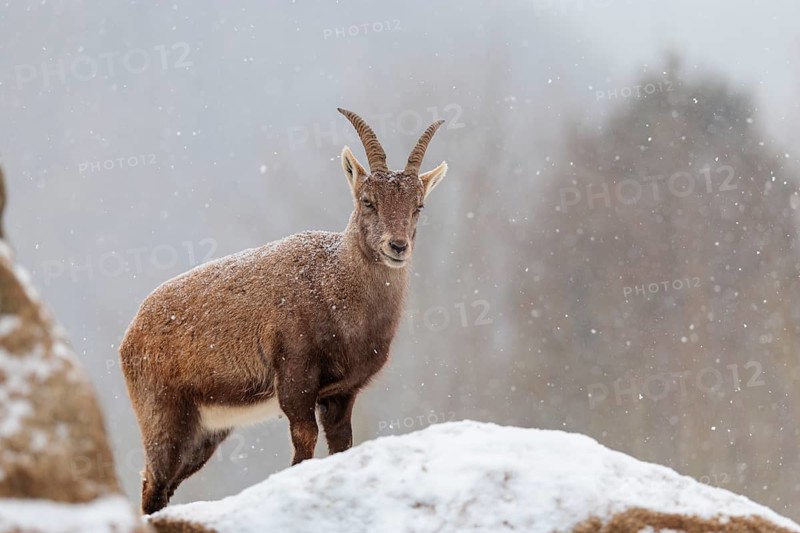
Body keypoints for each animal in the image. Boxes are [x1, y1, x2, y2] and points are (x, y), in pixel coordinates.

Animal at [120, 108, 448, 514]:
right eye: (367, 200)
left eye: (419, 205)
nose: (397, 246)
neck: (335, 289)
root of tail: (131, 333)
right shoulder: (295, 378)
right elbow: (303, 444)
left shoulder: (341, 394)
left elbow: (342, 445)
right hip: (163, 415)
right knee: (153, 483)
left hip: (205, 433)